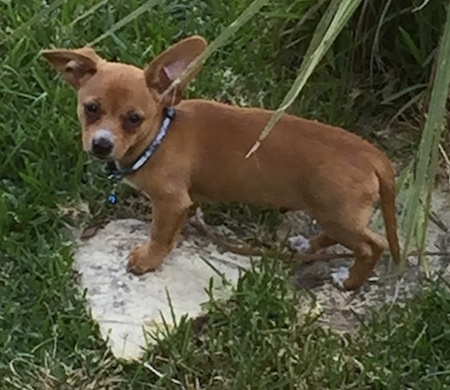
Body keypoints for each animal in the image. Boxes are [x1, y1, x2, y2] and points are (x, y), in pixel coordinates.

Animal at [42, 35, 400, 290]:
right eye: (90, 108)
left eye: (134, 119)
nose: (102, 145)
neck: (160, 136)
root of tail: (372, 154)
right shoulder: (185, 202)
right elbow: (175, 230)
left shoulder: (170, 202)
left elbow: (159, 234)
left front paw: (148, 260)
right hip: (333, 214)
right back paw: (309, 245)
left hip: (338, 215)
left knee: (373, 245)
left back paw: (349, 282)